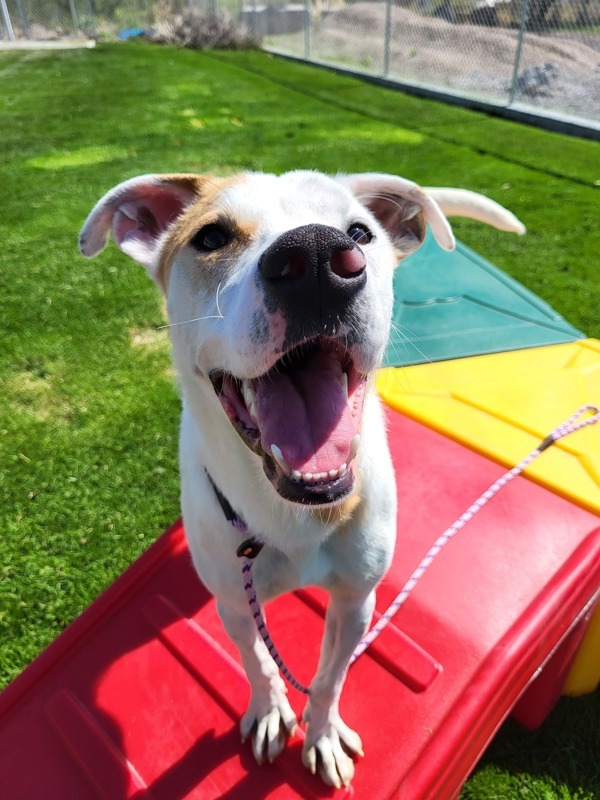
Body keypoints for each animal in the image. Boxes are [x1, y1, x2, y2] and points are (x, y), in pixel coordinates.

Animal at [81, 170, 524, 788]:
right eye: (211, 237)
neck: (293, 511)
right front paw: (270, 711)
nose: (316, 257)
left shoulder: (357, 600)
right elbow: (258, 663)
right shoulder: (234, 602)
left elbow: (330, 676)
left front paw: (322, 734)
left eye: (359, 232)